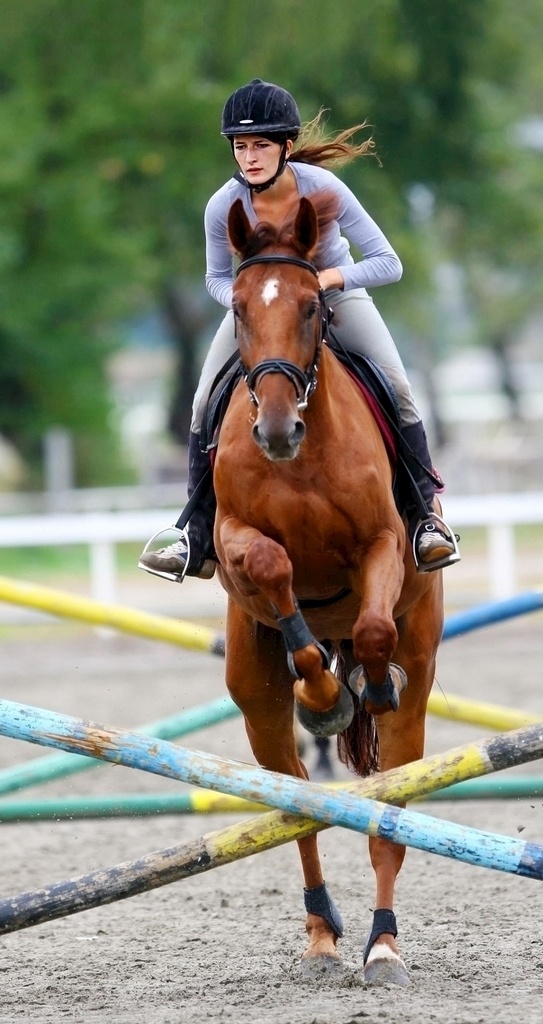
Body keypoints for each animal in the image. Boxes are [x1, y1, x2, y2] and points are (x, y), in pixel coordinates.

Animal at [211, 189, 444, 986]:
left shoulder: (382, 547)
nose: (276, 429)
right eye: (239, 307)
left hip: (419, 681)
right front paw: (321, 696)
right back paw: (322, 936)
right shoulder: (233, 538)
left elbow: (372, 628)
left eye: (314, 306)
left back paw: (382, 944)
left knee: (387, 816)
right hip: (255, 701)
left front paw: (359, 689)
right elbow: (273, 567)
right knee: (297, 808)